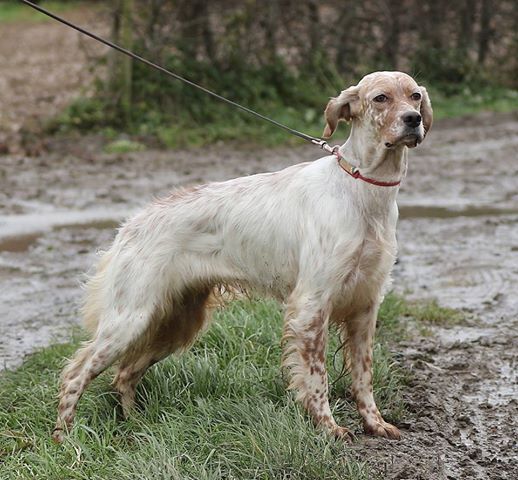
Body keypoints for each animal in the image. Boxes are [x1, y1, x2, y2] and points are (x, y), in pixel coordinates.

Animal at [53, 70, 434, 442]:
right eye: (380, 98)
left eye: (414, 96)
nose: (413, 119)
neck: (362, 189)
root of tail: (130, 226)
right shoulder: (311, 305)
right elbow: (317, 378)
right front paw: (328, 428)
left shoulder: (366, 306)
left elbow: (363, 377)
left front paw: (375, 423)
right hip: (130, 319)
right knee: (76, 373)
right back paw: (65, 438)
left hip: (174, 321)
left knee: (124, 374)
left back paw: (134, 425)